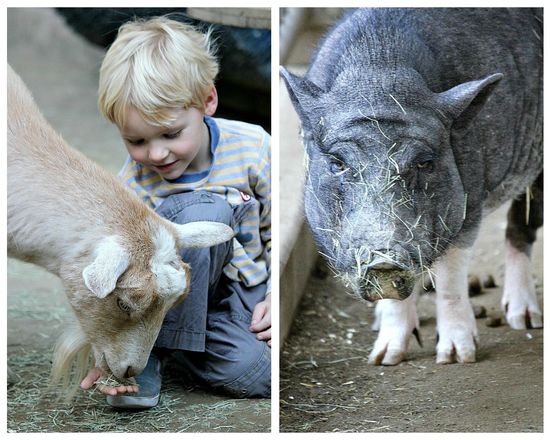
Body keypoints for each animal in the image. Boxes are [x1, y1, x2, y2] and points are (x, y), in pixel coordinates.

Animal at [282, 8, 544, 366]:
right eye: (337, 162)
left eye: (425, 163)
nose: (382, 260)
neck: (379, 72)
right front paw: (383, 358)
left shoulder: (469, 202)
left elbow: (451, 275)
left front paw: (456, 357)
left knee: (522, 226)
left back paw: (524, 319)